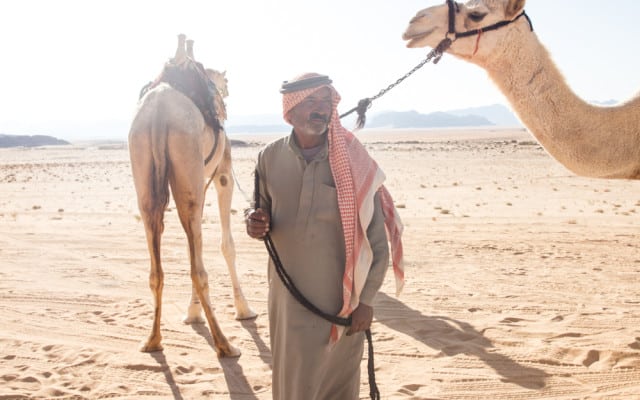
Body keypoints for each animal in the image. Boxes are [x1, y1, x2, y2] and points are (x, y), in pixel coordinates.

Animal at [129, 35, 256, 360]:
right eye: (226, 82)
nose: (226, 94)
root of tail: (158, 115)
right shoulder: (222, 174)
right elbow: (227, 245)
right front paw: (244, 309)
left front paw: (192, 314)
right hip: (188, 166)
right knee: (198, 268)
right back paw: (225, 344)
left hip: (146, 177)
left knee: (158, 267)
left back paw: (152, 340)